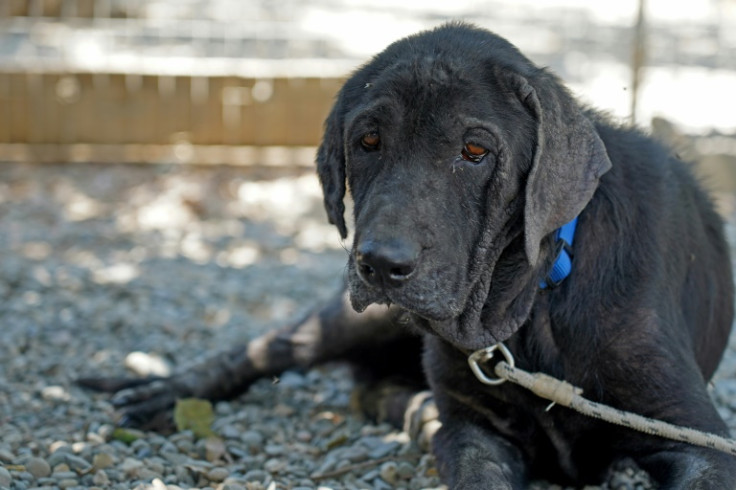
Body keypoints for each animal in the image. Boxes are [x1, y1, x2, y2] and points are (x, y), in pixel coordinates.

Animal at [85, 23, 736, 490]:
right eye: (368, 141)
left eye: (475, 151)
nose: (380, 265)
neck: (537, 294)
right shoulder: (473, 434)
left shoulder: (694, 438)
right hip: (350, 320)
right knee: (265, 352)